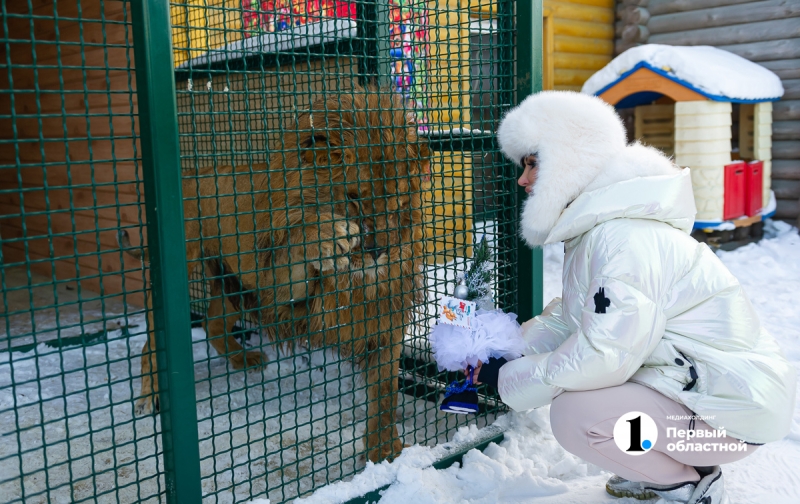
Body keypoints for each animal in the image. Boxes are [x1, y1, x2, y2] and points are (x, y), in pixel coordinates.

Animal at [126, 88, 434, 462]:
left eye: (399, 204)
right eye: (353, 198)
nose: (378, 252)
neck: (356, 281)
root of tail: (192, 173)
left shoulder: (383, 319)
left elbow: (386, 392)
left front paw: (385, 450)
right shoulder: (279, 290)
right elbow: (297, 247)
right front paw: (326, 235)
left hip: (235, 288)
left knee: (213, 324)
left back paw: (244, 359)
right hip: (185, 273)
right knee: (151, 343)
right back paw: (148, 398)